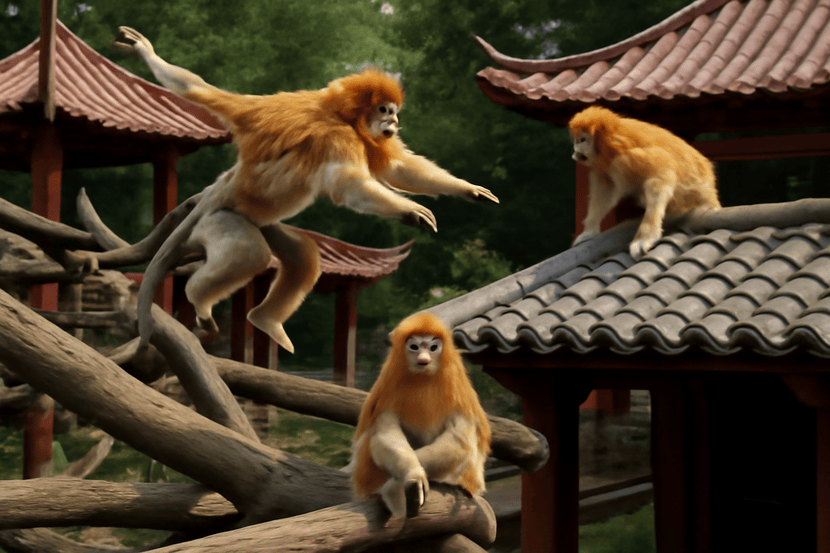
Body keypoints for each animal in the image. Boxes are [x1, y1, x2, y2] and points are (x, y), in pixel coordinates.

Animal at [112, 27, 498, 353]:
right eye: (385, 110)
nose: (394, 121)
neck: (343, 118)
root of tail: (217, 195)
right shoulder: (338, 137)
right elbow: (352, 185)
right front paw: (409, 210)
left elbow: (398, 169)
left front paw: (468, 190)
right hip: (220, 220)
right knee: (248, 252)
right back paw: (199, 301)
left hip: (262, 221)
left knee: (303, 254)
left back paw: (265, 320)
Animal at [349, 312, 491, 518]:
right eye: (414, 347)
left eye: (433, 348)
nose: (423, 359)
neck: (424, 377)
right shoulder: (388, 387)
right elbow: (385, 435)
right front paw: (413, 476)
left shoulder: (457, 387)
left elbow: (459, 442)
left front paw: (394, 488)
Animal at [568, 106, 720, 258]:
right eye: (576, 141)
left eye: (582, 140)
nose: (575, 150)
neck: (612, 140)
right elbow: (606, 191)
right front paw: (589, 231)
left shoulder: (631, 155)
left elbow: (661, 178)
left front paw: (645, 238)